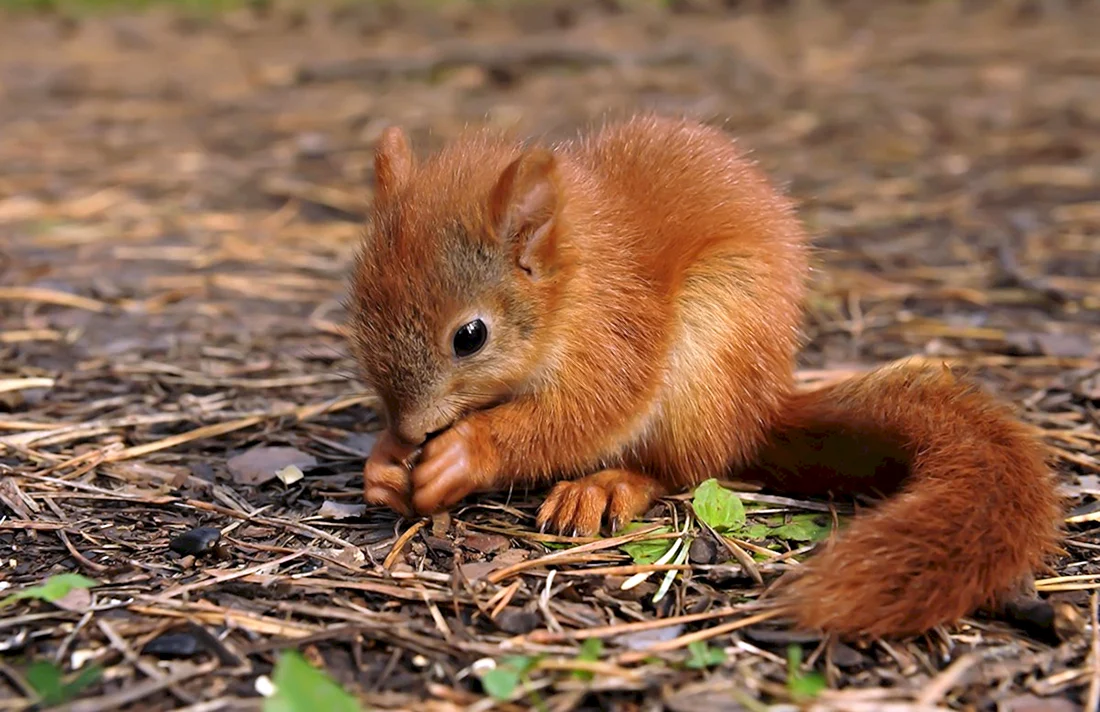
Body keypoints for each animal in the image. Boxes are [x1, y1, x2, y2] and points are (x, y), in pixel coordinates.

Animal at [347, 114, 1063, 639]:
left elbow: (585, 414)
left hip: (708, 351)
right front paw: (383, 462)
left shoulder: (618, 336)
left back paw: (607, 486)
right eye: (358, 307)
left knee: (684, 467)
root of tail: (761, 409)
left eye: (470, 337)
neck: (574, 282)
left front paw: (463, 453)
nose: (409, 431)